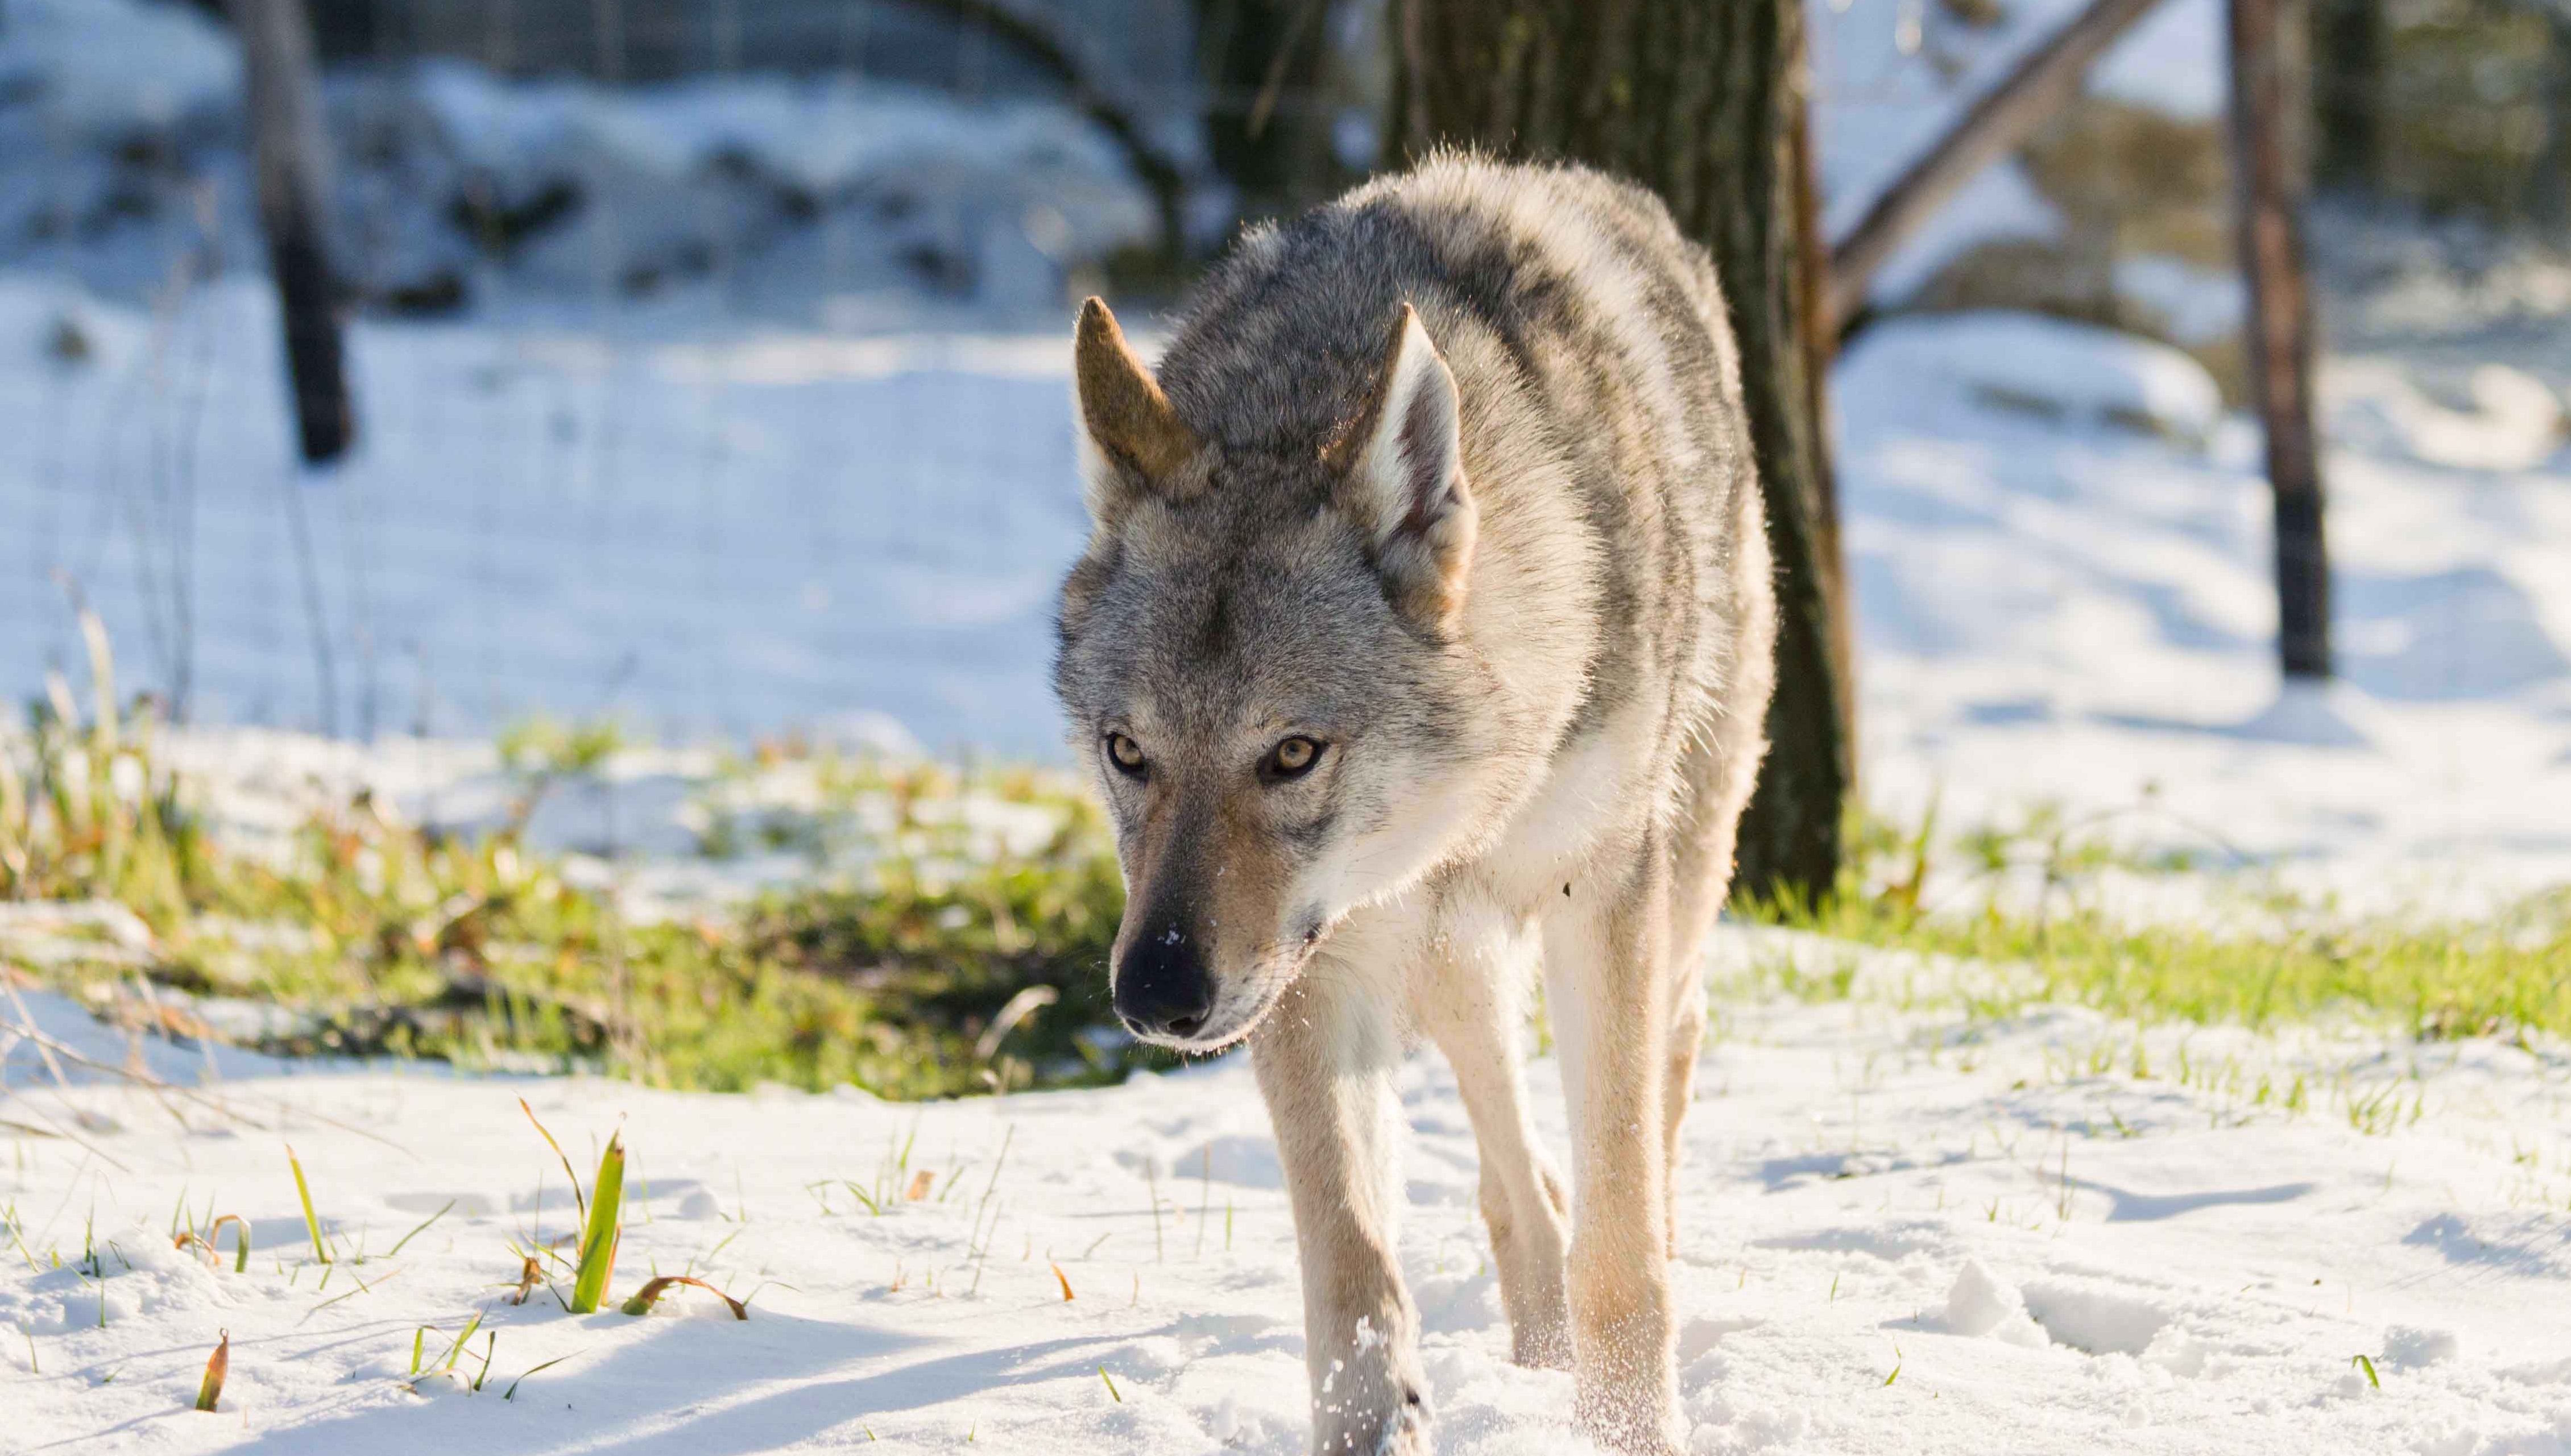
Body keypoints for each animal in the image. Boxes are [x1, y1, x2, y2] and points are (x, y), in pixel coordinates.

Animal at [1044, 157, 1769, 1456]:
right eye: (1127, 751)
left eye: (1291, 753)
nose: (1157, 994)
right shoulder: (1313, 965)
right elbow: (1352, 1276)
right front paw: (1385, 1423)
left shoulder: (1600, 901)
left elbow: (1621, 1249)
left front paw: (1629, 1424)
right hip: (1438, 963)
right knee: (1520, 1180)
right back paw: (1533, 1347)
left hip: (1676, 875)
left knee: (1658, 1093)